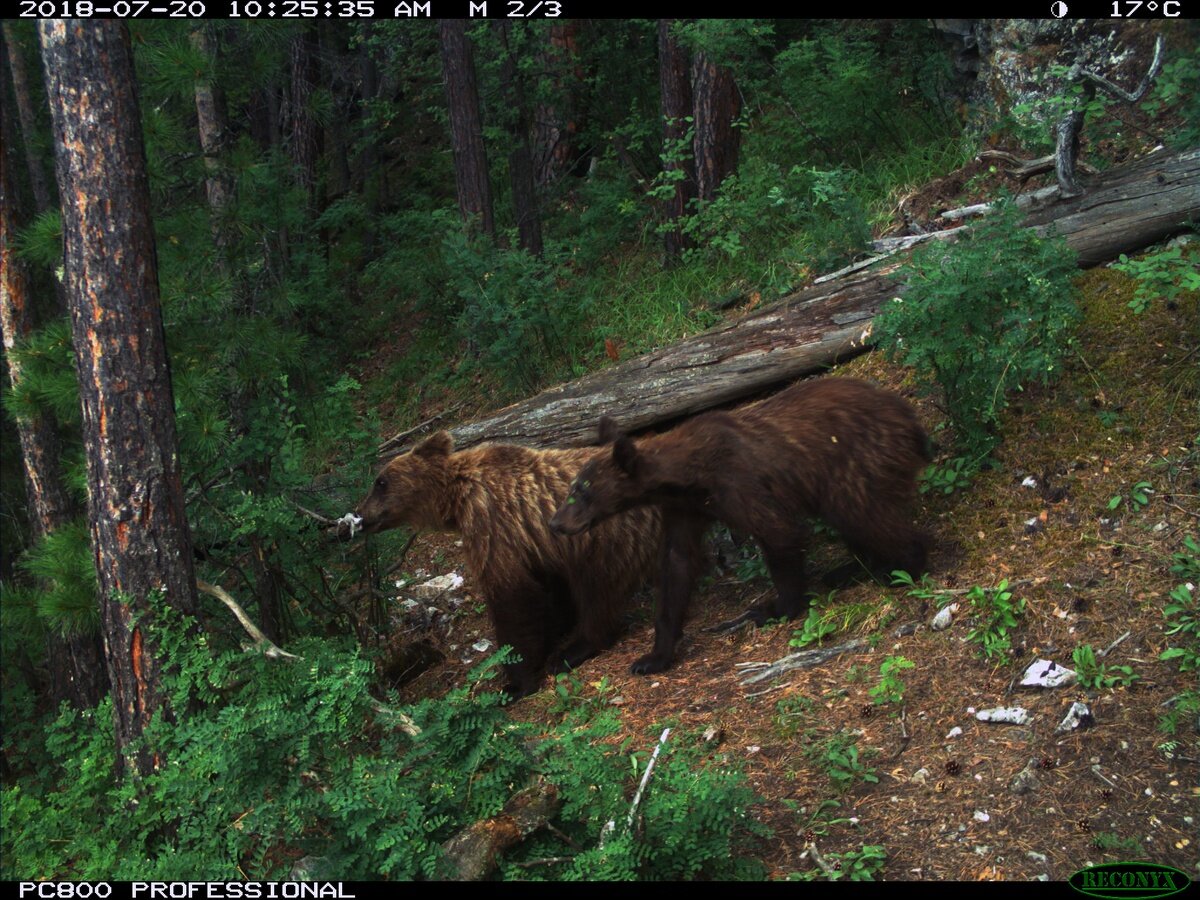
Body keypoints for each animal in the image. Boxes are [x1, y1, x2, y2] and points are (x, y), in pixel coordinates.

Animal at [350, 434, 662, 700]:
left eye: (380, 482)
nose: (358, 515)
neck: (456, 501)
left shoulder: (493, 526)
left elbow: (513, 601)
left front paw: (516, 683)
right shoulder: (538, 546)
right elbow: (547, 590)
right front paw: (554, 629)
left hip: (607, 537)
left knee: (598, 590)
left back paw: (572, 651)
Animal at [549, 379, 931, 676]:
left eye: (582, 491)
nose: (555, 523)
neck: (688, 476)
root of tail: (909, 416)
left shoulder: (738, 482)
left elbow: (778, 532)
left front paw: (774, 607)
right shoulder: (685, 509)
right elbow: (676, 564)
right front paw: (652, 657)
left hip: (855, 459)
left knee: (862, 512)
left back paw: (904, 564)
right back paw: (850, 569)